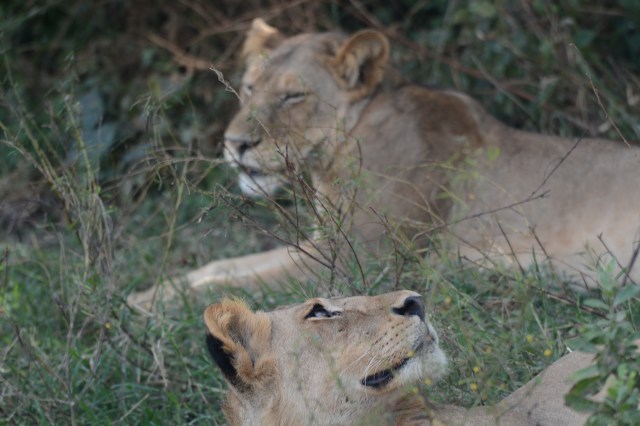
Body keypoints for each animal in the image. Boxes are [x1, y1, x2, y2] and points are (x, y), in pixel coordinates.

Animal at [128, 19, 639, 308]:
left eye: (294, 96)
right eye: (250, 87)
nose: (235, 144)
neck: (331, 162)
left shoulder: (359, 262)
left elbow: (232, 286)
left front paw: (141, 308)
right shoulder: (324, 242)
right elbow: (222, 267)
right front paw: (147, 291)